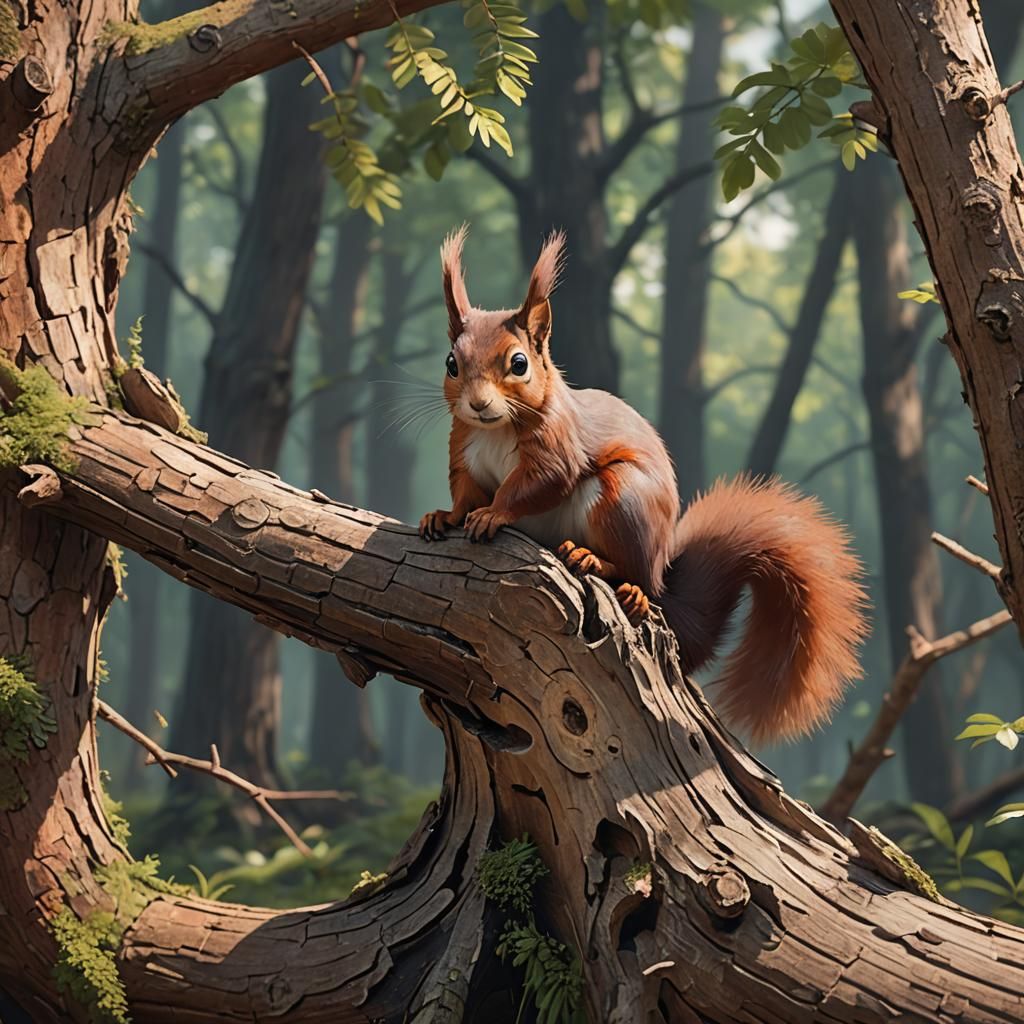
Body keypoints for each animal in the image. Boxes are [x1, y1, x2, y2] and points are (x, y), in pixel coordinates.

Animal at [419, 226, 868, 743]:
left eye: (518, 363)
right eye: (451, 363)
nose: (477, 404)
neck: (495, 429)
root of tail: (661, 569)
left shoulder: (557, 447)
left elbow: (538, 484)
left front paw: (493, 513)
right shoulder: (464, 451)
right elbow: (464, 492)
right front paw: (443, 516)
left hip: (623, 498)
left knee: (636, 577)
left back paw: (606, 571)